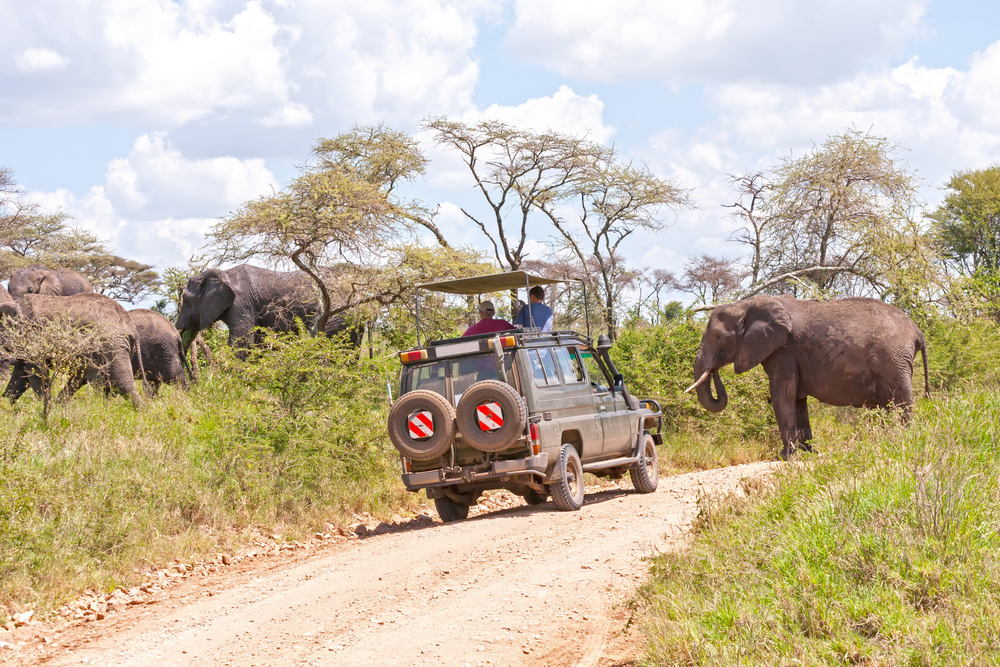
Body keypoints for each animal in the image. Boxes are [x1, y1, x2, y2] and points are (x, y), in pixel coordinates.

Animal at [4, 294, 150, 408]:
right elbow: (20, 374)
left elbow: (34, 370)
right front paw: (6, 408)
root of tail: (132, 329)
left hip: (113, 343)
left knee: (120, 381)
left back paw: (142, 411)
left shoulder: (33, 332)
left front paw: (46, 404)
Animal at [688, 298, 928, 460]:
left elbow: (781, 395)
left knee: (901, 402)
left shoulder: (783, 350)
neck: (745, 304)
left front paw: (784, 457)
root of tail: (917, 331)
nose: (713, 370)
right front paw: (808, 452)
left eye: (718, 337)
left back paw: (902, 440)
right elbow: (796, 399)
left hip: (894, 360)